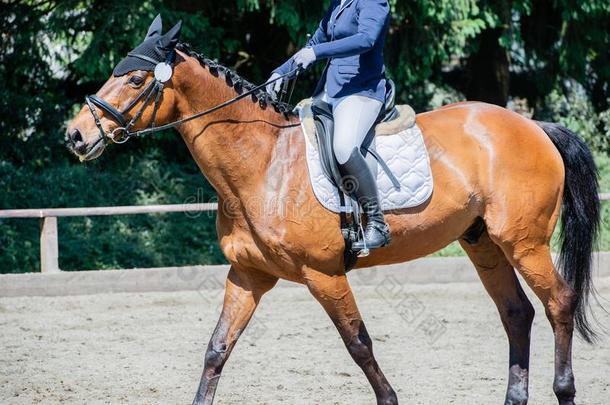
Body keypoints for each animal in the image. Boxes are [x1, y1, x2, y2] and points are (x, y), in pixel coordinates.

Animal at [66, 36, 600, 402]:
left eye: (136, 80)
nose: (75, 135)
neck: (262, 162)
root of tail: (532, 125)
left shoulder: (324, 274)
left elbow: (359, 344)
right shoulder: (248, 274)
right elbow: (217, 347)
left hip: (524, 243)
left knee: (558, 304)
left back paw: (565, 390)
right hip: (483, 242)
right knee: (517, 313)